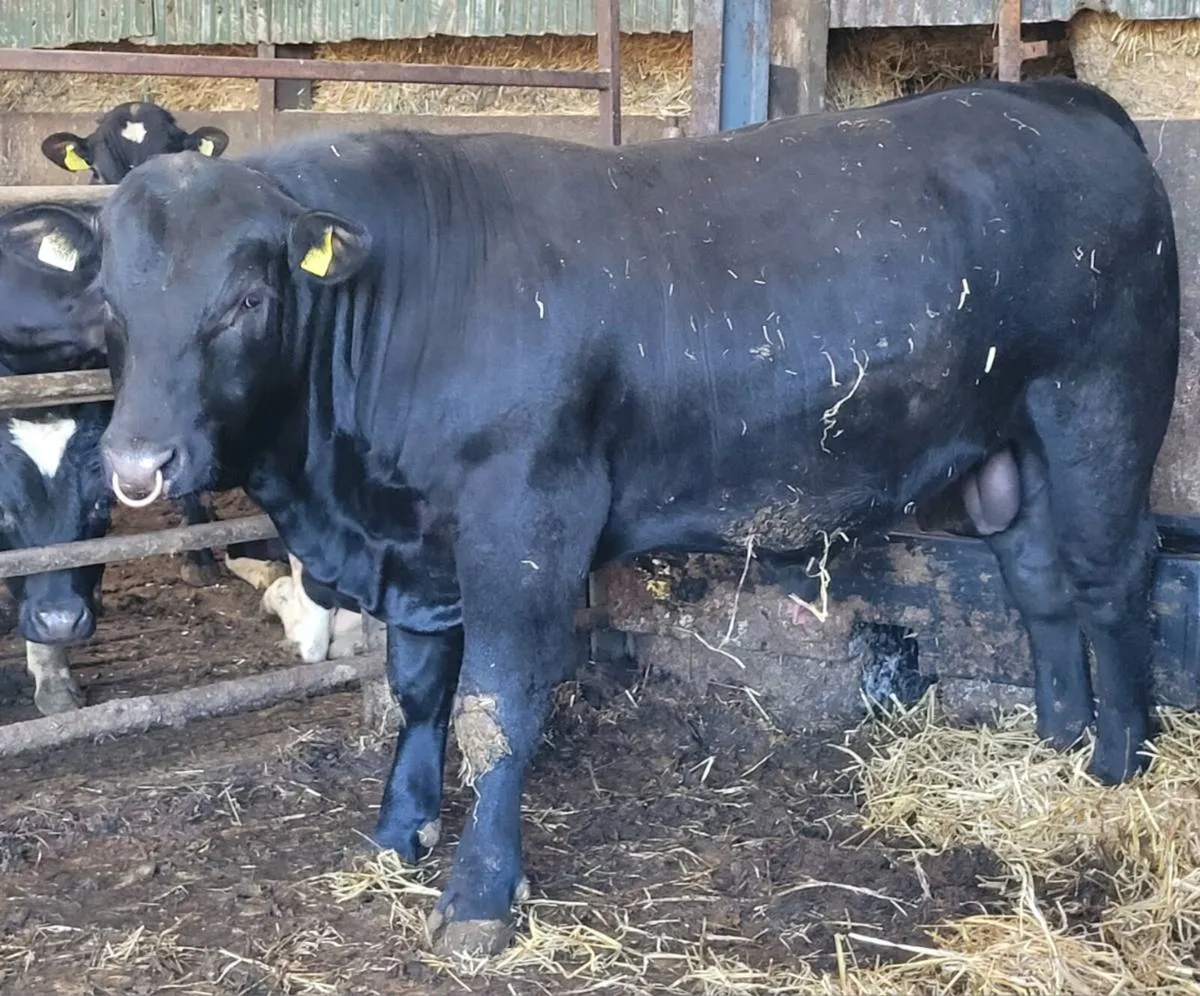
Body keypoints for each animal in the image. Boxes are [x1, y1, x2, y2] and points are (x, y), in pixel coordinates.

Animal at [45, 76, 1176, 956]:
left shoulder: (524, 525)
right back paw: (1055, 746)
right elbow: (418, 693)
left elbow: (497, 708)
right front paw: (398, 832)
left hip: (1099, 407)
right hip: (1006, 447)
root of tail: (1057, 98)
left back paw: (1118, 766)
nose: (138, 463)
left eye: (243, 299)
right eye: (110, 305)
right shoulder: (419, 547)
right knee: (1040, 582)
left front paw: (479, 895)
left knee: (1116, 573)